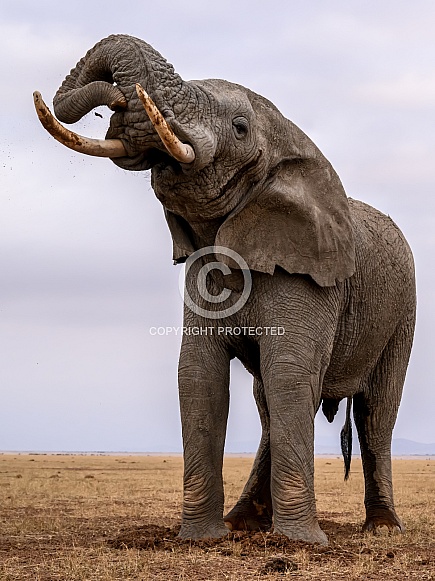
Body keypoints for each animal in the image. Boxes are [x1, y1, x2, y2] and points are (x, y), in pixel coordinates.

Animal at [33, 36, 416, 544]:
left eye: (239, 128)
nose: (116, 99)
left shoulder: (312, 280)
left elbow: (289, 373)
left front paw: (301, 543)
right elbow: (199, 375)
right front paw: (202, 538)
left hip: (404, 310)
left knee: (374, 413)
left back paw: (383, 528)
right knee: (269, 407)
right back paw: (243, 521)